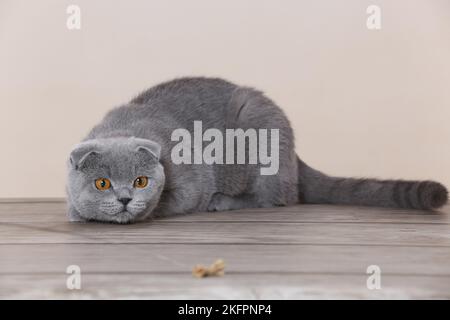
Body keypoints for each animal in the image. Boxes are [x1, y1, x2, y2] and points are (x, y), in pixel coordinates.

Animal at [65, 77, 448, 222]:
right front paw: (79, 212)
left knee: (279, 197)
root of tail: (295, 155)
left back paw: (223, 202)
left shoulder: (191, 182)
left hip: (260, 133)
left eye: (141, 181)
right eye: (102, 183)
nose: (125, 198)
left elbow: (174, 200)